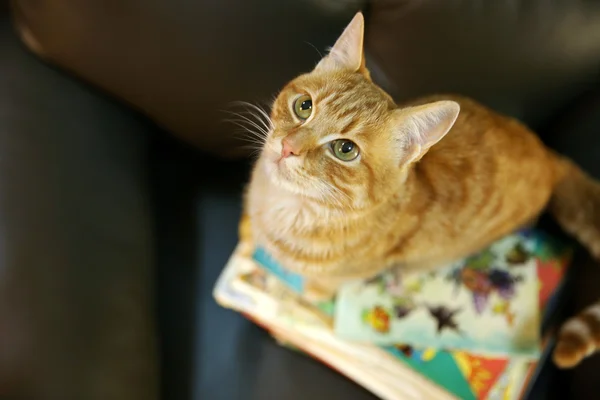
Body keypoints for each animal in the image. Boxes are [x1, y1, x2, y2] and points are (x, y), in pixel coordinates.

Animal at [239, 12, 600, 368]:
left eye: (345, 149)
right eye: (304, 106)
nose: (288, 146)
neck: (288, 207)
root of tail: (548, 154)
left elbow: (318, 287)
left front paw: (299, 292)